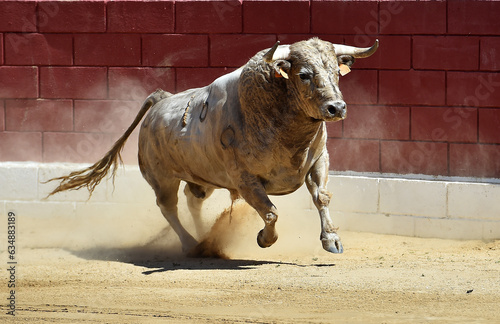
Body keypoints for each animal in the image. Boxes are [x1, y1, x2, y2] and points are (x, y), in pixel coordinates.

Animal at [48, 38, 380, 254]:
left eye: (336, 73)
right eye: (304, 75)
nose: (337, 108)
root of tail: (160, 99)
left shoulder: (318, 159)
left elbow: (322, 197)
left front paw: (332, 240)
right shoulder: (245, 180)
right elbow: (270, 213)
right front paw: (265, 240)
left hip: (201, 176)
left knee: (192, 200)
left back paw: (203, 236)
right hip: (161, 177)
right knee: (168, 207)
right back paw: (192, 245)